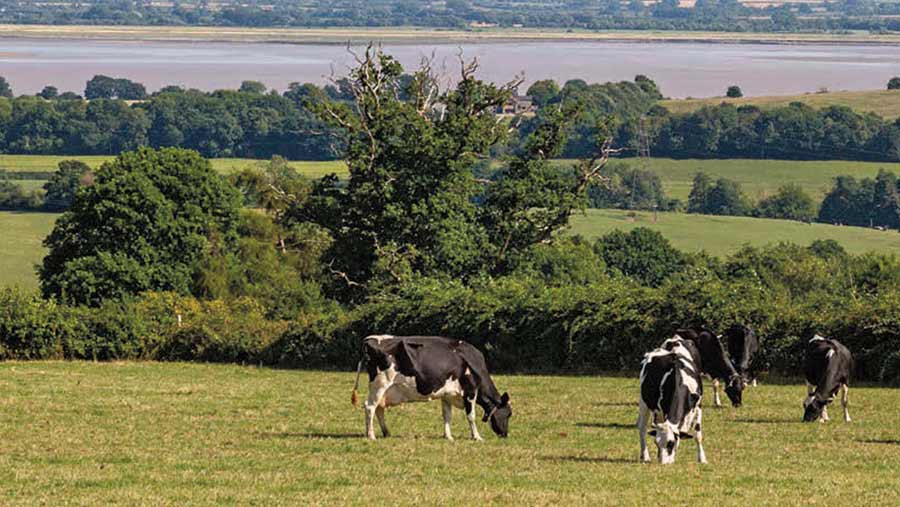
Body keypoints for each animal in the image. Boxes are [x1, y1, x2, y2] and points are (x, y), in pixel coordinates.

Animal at [352, 336, 510, 438]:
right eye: (508, 414)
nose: (505, 434)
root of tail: (370, 339)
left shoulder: (447, 394)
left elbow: (447, 415)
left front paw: (448, 436)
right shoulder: (470, 391)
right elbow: (471, 416)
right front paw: (476, 436)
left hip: (384, 390)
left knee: (379, 408)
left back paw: (386, 433)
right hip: (379, 384)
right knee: (370, 407)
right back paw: (371, 435)